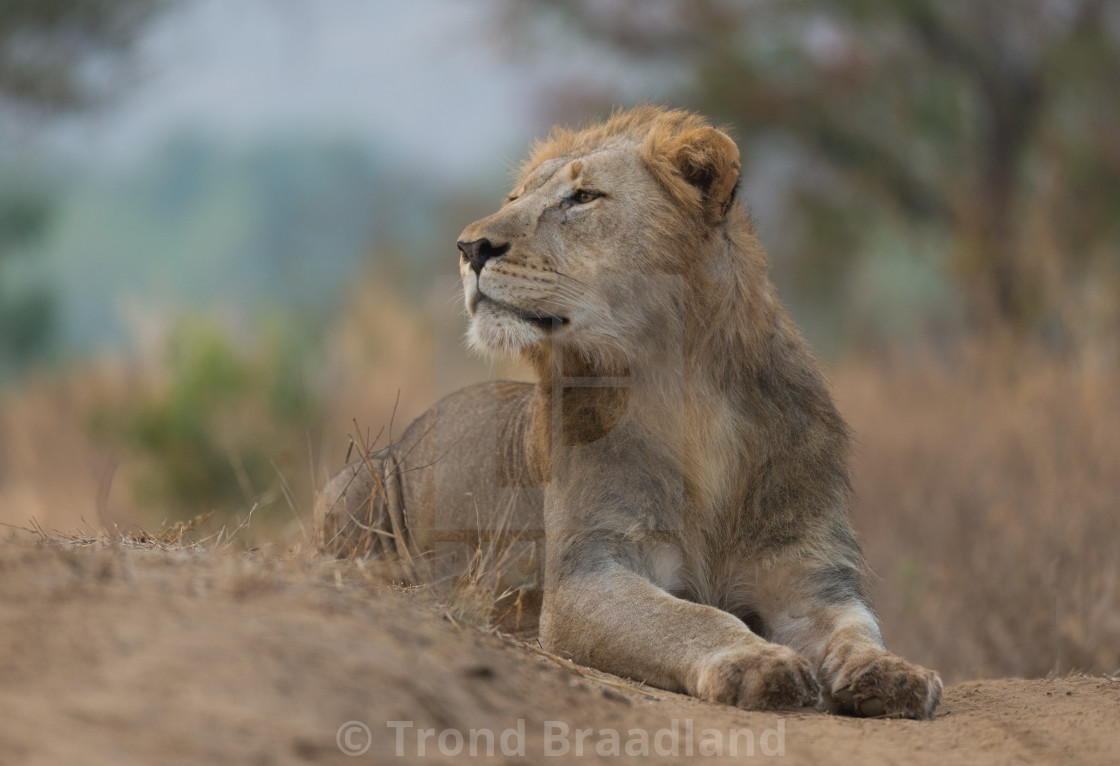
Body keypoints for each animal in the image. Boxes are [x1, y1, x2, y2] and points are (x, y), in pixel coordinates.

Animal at [318, 103, 945, 716]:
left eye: (582, 198)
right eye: (514, 199)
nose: (469, 248)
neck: (690, 396)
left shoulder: (809, 577)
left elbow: (857, 629)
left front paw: (895, 674)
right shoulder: (587, 575)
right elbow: (692, 617)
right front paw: (756, 662)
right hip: (355, 480)